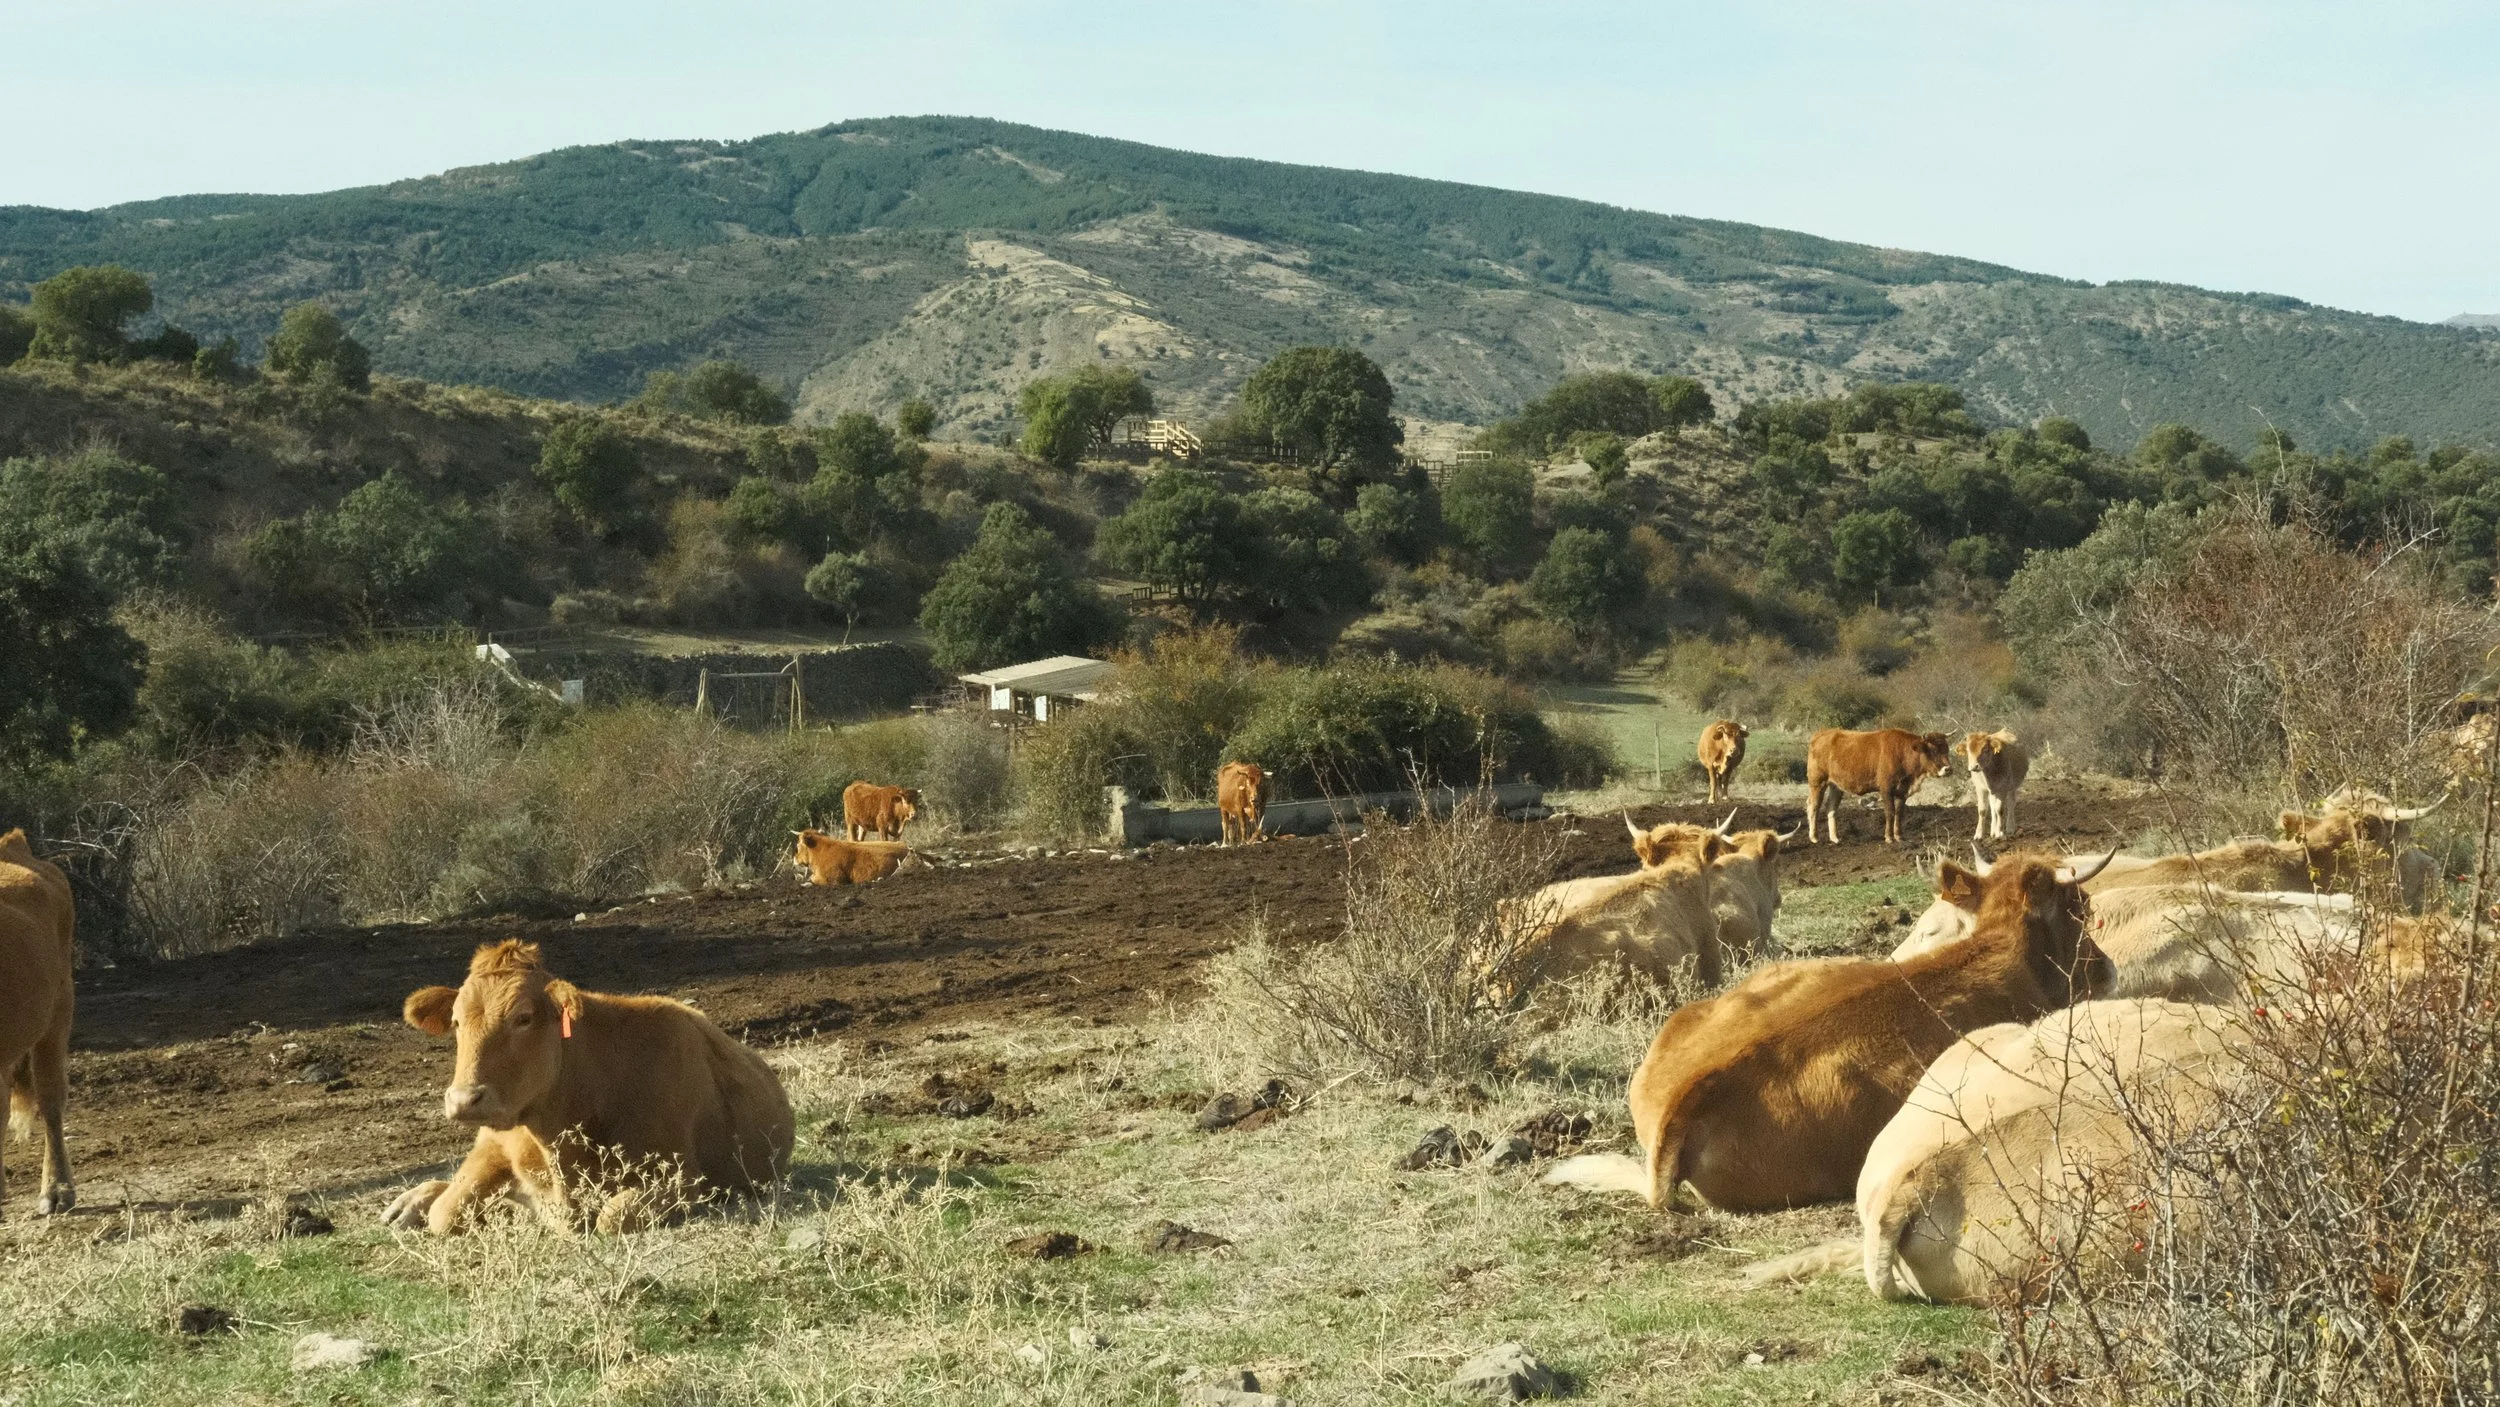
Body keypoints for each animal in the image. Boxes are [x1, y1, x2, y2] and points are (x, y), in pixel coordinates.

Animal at [386, 940, 794, 1235]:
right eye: (456, 1021)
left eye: (523, 1018)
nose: (464, 1099)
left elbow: (611, 1217)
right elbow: (446, 1212)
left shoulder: (682, 1178)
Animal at [1804, 728, 1954, 845]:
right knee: (1813, 805)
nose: (1948, 769)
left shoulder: (1903, 790)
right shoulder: (1886, 788)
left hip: (1836, 785)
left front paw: (1899, 836)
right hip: (1817, 782)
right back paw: (1814, 837)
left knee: (1831, 808)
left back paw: (1835, 838)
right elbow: (1890, 812)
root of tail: (1823, 733)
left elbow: (1899, 812)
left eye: (1946, 749)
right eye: (1933, 750)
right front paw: (1889, 837)